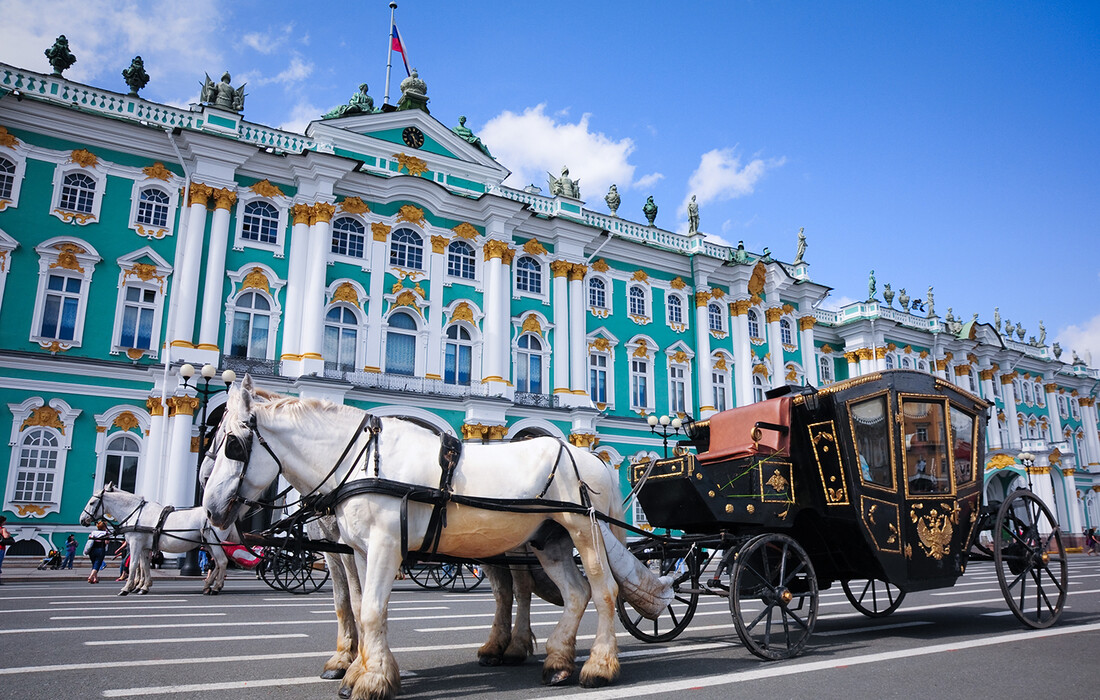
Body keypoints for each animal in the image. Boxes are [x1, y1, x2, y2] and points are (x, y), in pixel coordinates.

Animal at [81, 486, 240, 594]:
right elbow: (144, 566)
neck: (136, 514)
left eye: (92, 502)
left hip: (214, 543)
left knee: (222, 562)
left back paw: (216, 587)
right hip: (209, 545)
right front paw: (143, 587)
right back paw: (208, 586)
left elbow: (133, 565)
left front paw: (126, 588)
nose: (82, 520)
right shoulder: (145, 547)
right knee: (217, 564)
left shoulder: (135, 544)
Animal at [203, 376, 642, 700]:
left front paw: (371, 680)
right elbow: (357, 606)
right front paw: (359, 669)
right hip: (548, 542)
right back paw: (556, 662)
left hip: (585, 532)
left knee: (602, 591)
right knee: (571, 593)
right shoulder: (356, 550)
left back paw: (598, 666)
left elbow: (370, 610)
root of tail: (594, 459)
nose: (210, 508)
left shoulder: (385, 546)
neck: (362, 461)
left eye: (232, 445)